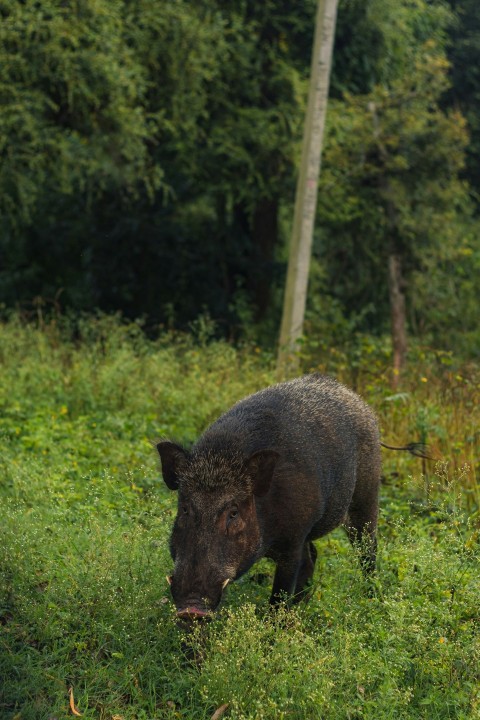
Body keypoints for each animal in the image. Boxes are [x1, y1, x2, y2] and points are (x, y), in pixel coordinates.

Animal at [157, 373, 381, 620]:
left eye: (233, 512)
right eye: (185, 508)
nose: (191, 608)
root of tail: (359, 402)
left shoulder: (293, 542)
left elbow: (279, 593)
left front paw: (273, 625)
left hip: (366, 497)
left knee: (368, 550)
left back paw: (371, 600)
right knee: (313, 555)